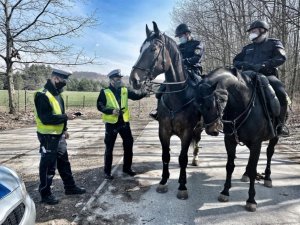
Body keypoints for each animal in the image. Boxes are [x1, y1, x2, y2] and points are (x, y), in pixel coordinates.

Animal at [129, 22, 203, 200]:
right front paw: (163, 182)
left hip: (199, 128)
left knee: (197, 142)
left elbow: (182, 158)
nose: (134, 80)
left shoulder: (187, 132)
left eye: (153, 49)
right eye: (140, 49)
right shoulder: (163, 130)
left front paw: (182, 186)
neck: (178, 96)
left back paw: (196, 158)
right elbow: (165, 156)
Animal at [195, 67, 286, 212]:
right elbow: (230, 166)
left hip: (275, 137)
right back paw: (246, 174)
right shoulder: (230, 141)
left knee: (269, 153)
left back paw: (267, 178)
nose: (212, 130)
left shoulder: (256, 143)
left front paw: (251, 200)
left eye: (220, 99)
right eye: (198, 103)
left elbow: (254, 169)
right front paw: (225, 192)